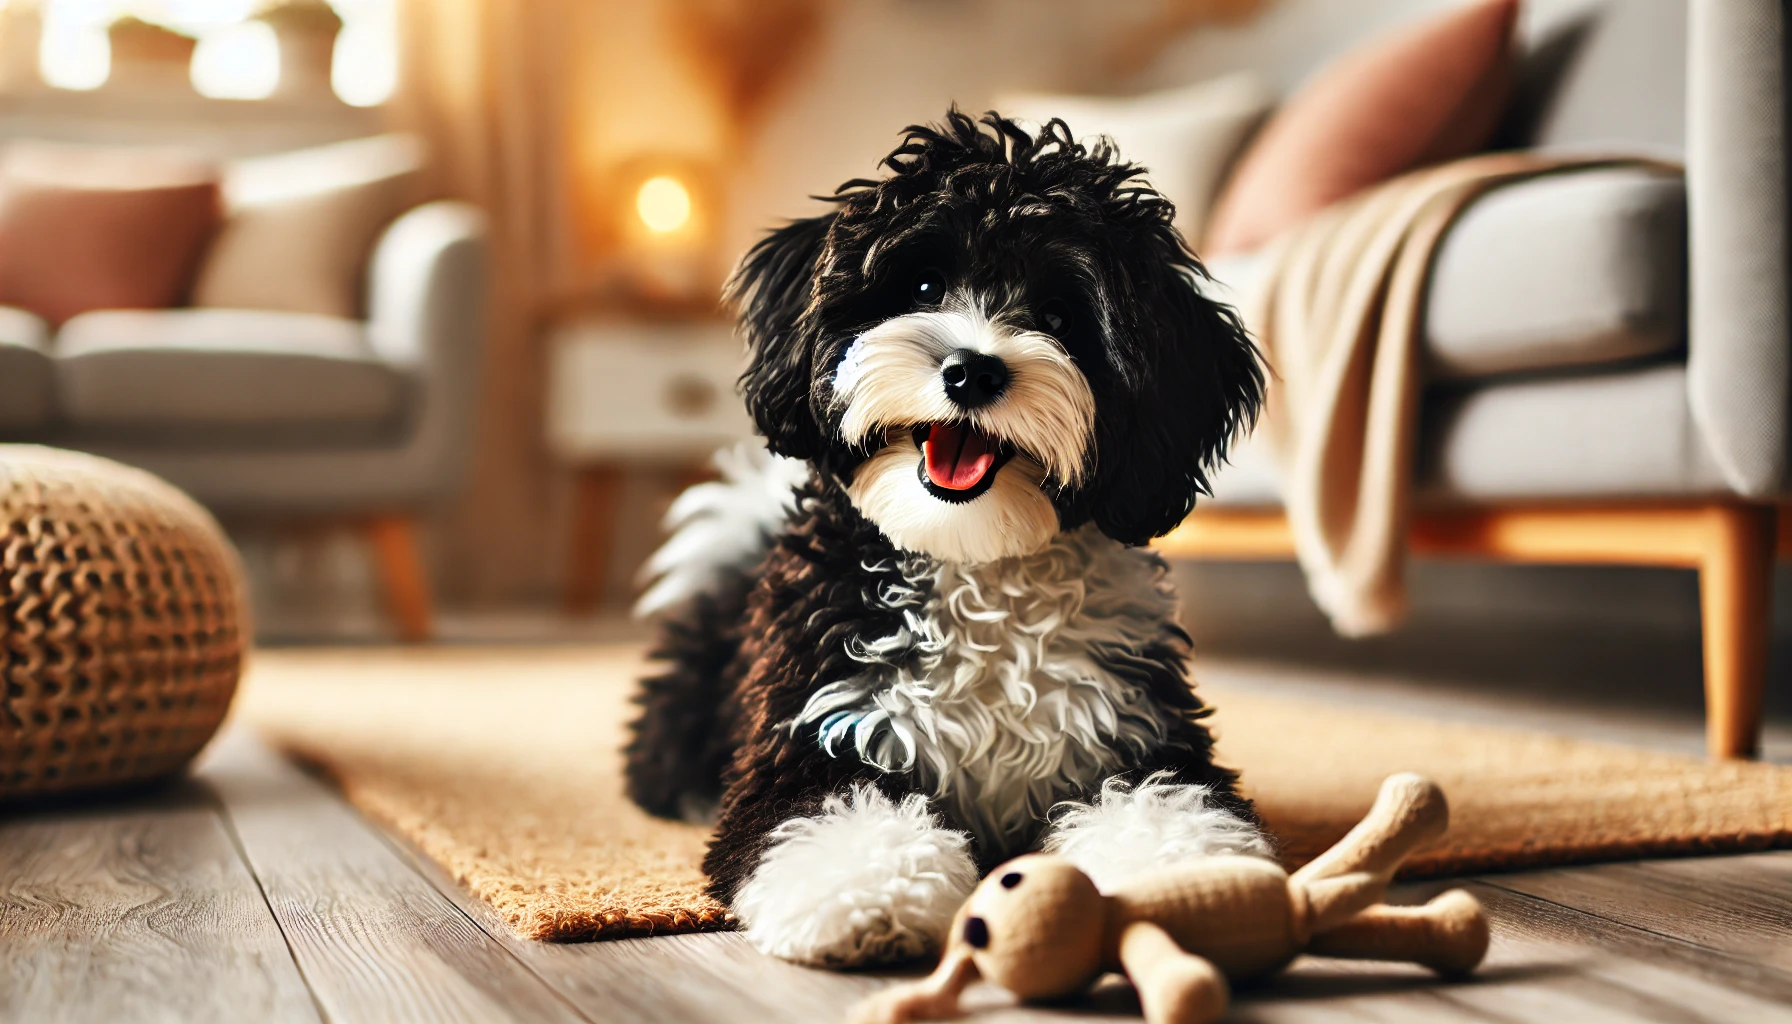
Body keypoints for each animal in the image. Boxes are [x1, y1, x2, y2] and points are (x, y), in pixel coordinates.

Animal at [623, 112, 1268, 968]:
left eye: (1061, 317)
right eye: (925, 286)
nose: (972, 371)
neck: (980, 565)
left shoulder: (1138, 734)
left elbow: (1170, 804)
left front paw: (1197, 883)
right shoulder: (817, 731)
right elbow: (839, 811)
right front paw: (866, 896)